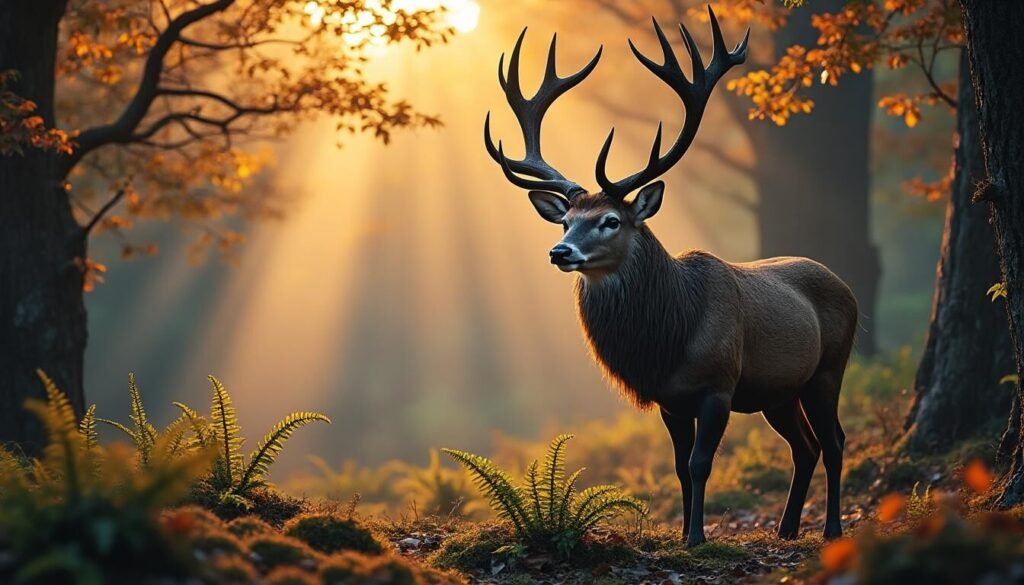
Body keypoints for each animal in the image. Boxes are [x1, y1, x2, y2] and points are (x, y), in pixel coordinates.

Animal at [483, 8, 858, 547]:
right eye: (565, 220)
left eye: (610, 220)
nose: (560, 251)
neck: (670, 336)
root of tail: (846, 286)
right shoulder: (670, 399)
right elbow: (680, 468)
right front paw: (682, 534)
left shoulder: (718, 385)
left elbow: (701, 464)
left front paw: (698, 537)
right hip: (779, 391)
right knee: (804, 446)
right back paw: (787, 529)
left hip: (829, 368)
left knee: (834, 440)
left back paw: (831, 529)